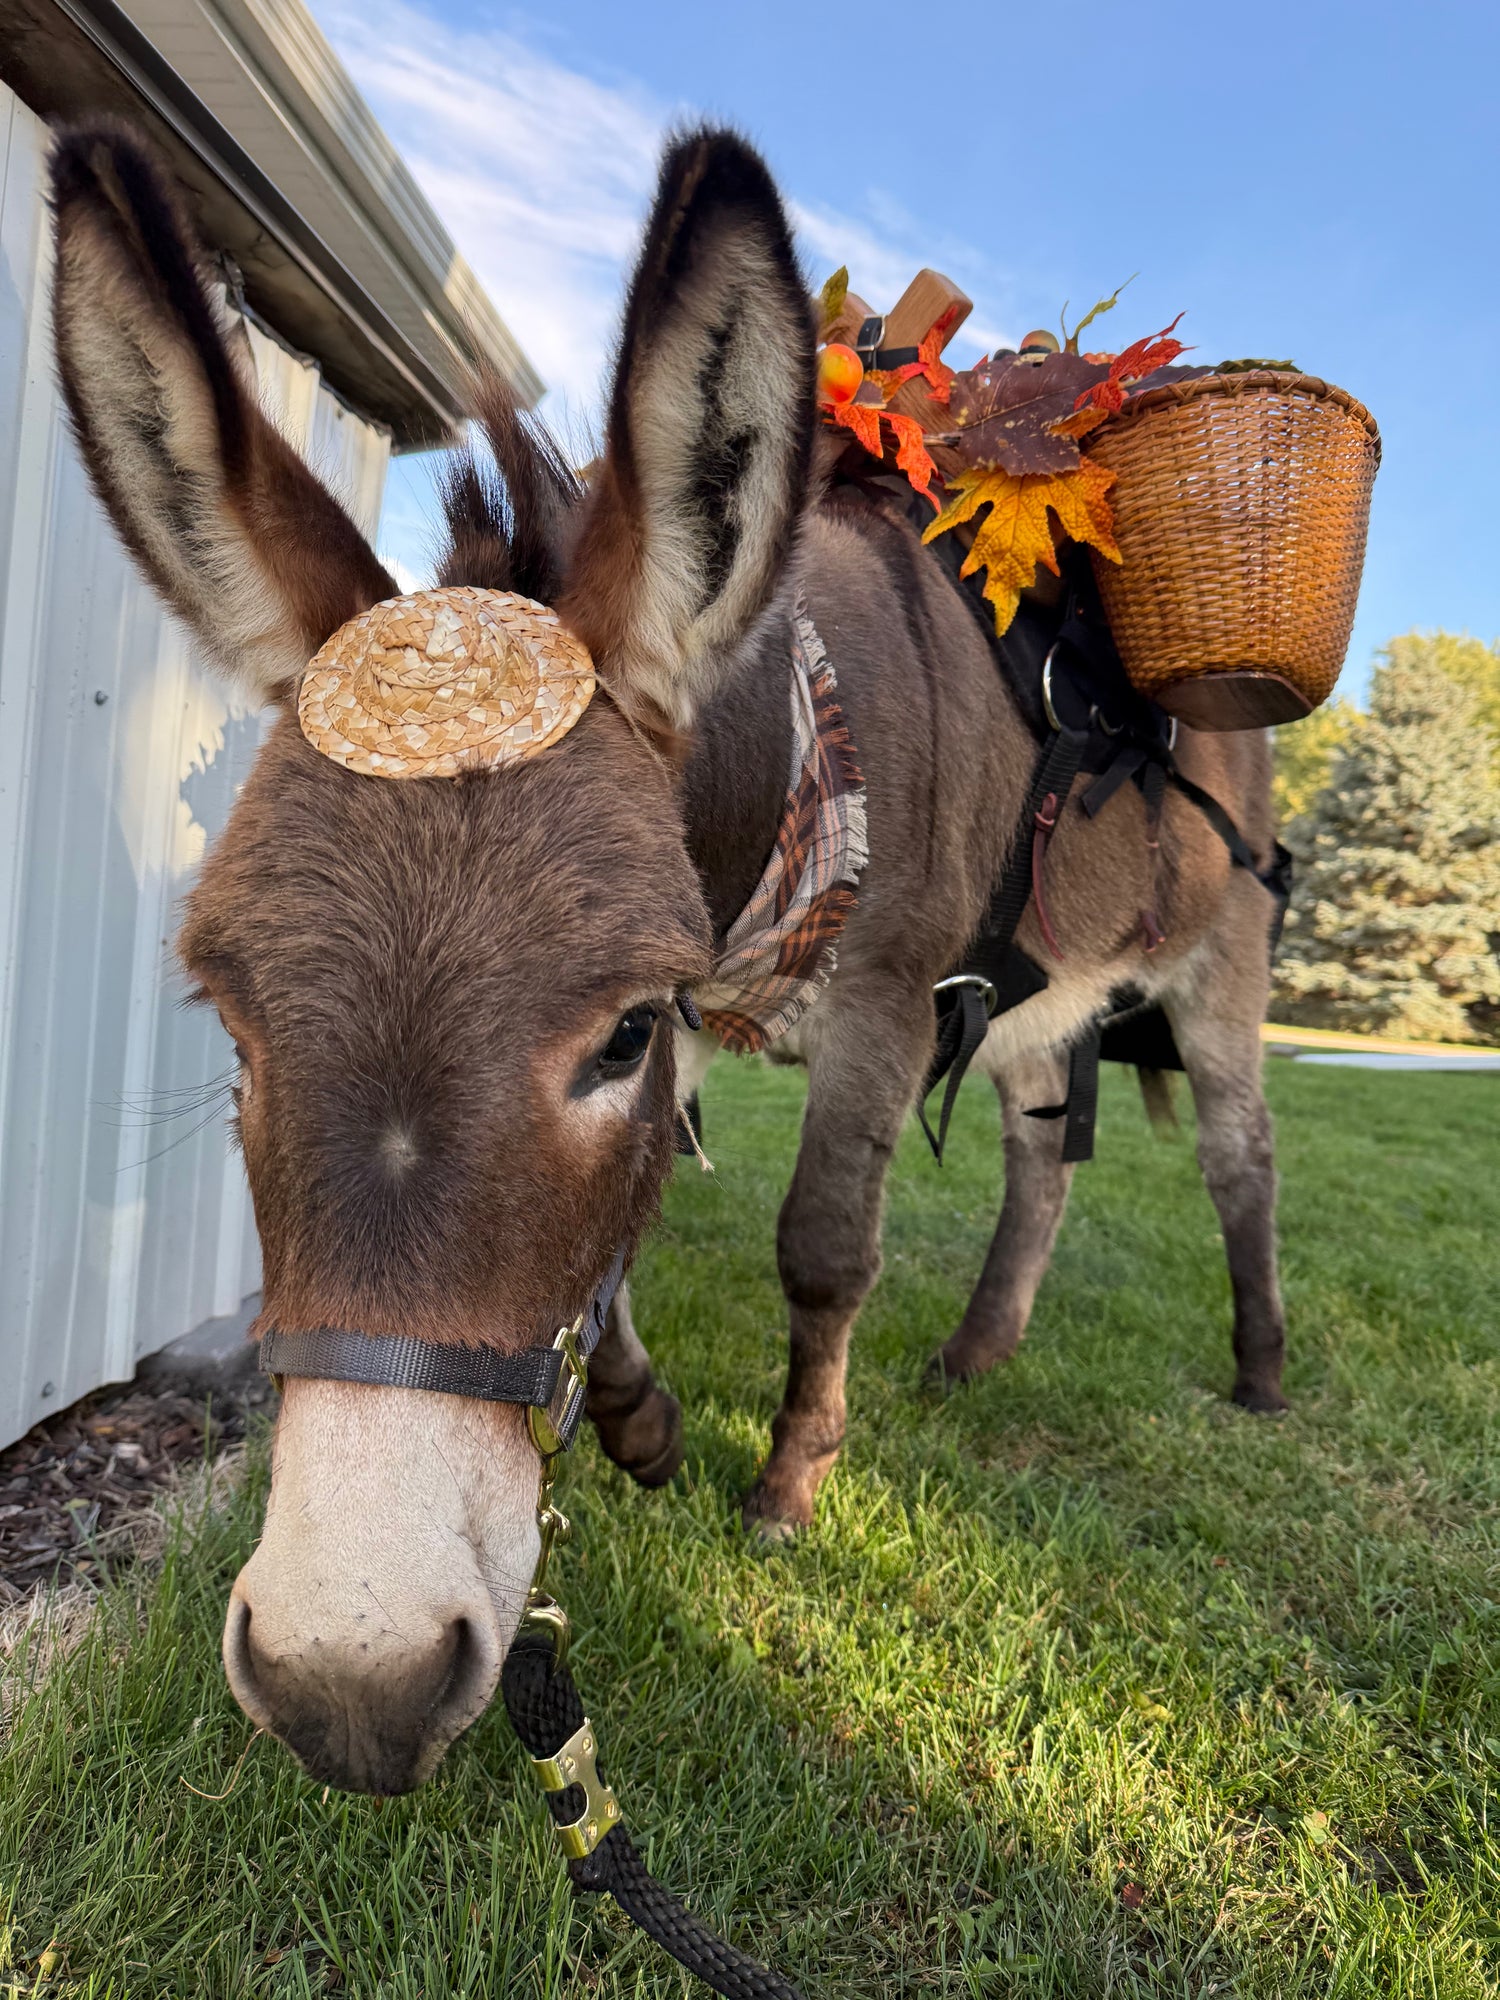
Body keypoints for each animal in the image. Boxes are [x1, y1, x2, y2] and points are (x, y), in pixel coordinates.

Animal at [49, 121, 1287, 1795]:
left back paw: (1260, 1369)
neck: (795, 747)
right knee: (1042, 1153)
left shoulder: (879, 1000)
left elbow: (822, 1246)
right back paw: (977, 1353)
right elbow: (621, 1251)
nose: (347, 1686)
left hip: (1221, 962)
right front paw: (641, 1420)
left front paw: (788, 1484)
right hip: (1041, 1007)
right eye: (232, 1031)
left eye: (620, 1035)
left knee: (1238, 1155)